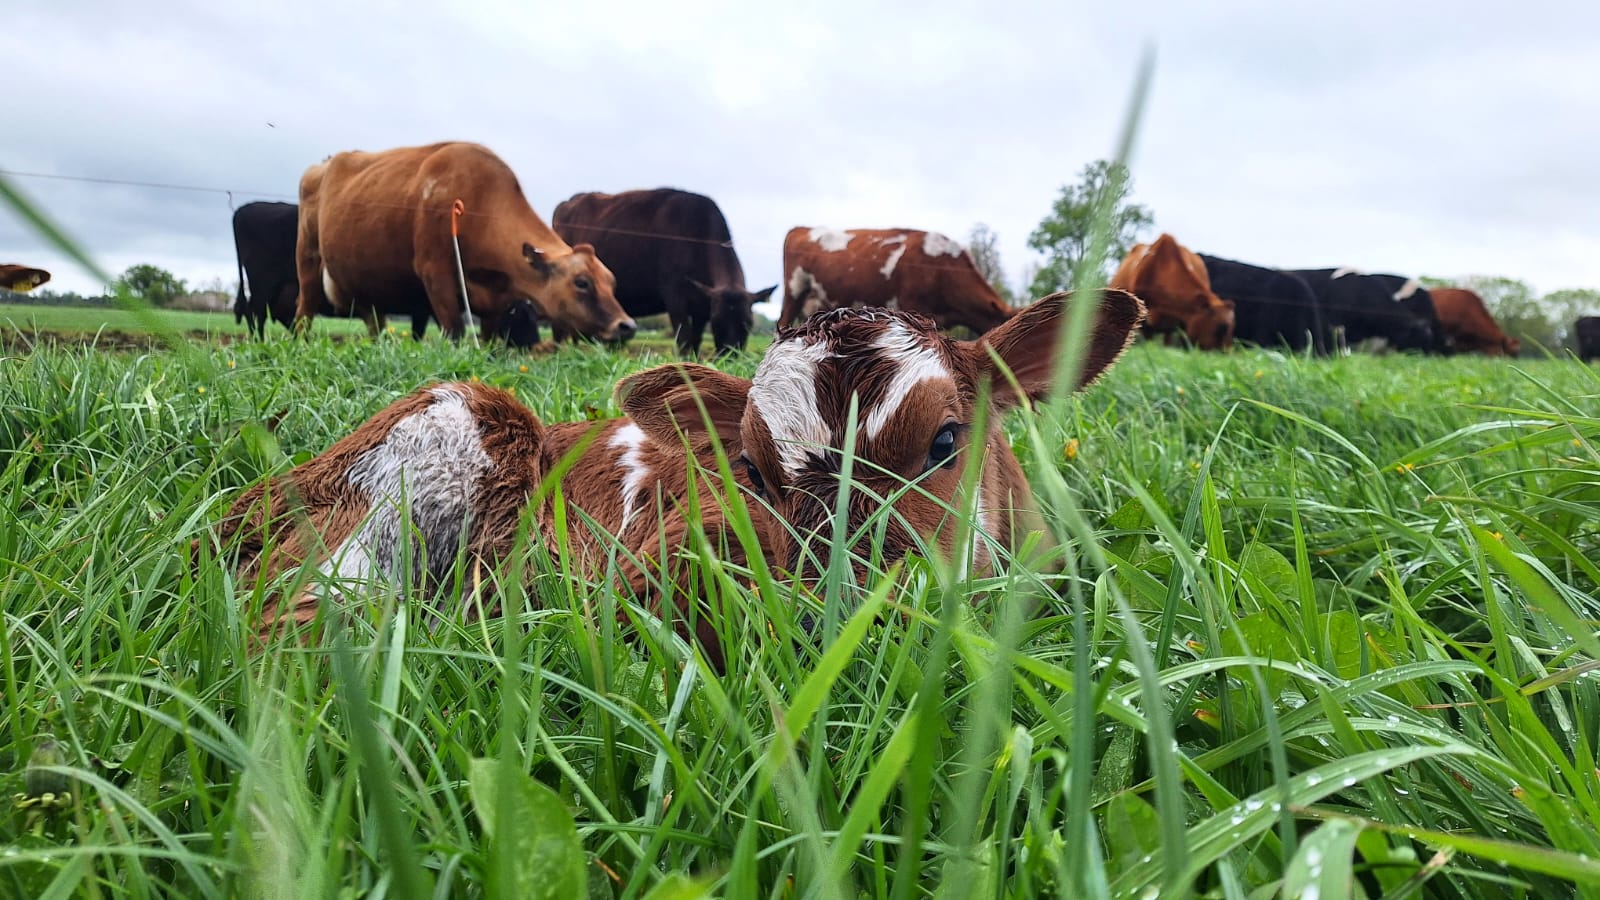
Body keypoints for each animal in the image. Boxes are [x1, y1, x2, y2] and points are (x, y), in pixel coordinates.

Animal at [293, 141, 636, 347]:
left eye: (612, 282)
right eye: (581, 282)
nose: (627, 326)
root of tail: (326, 162)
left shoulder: (497, 299)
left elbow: (489, 339)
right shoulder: (435, 271)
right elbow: (455, 331)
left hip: (365, 277)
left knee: (373, 317)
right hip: (308, 256)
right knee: (306, 306)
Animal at [552, 188, 777, 357]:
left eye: (748, 323)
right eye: (717, 322)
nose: (730, 356)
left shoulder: (702, 306)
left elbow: (696, 340)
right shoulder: (675, 296)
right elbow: (684, 340)